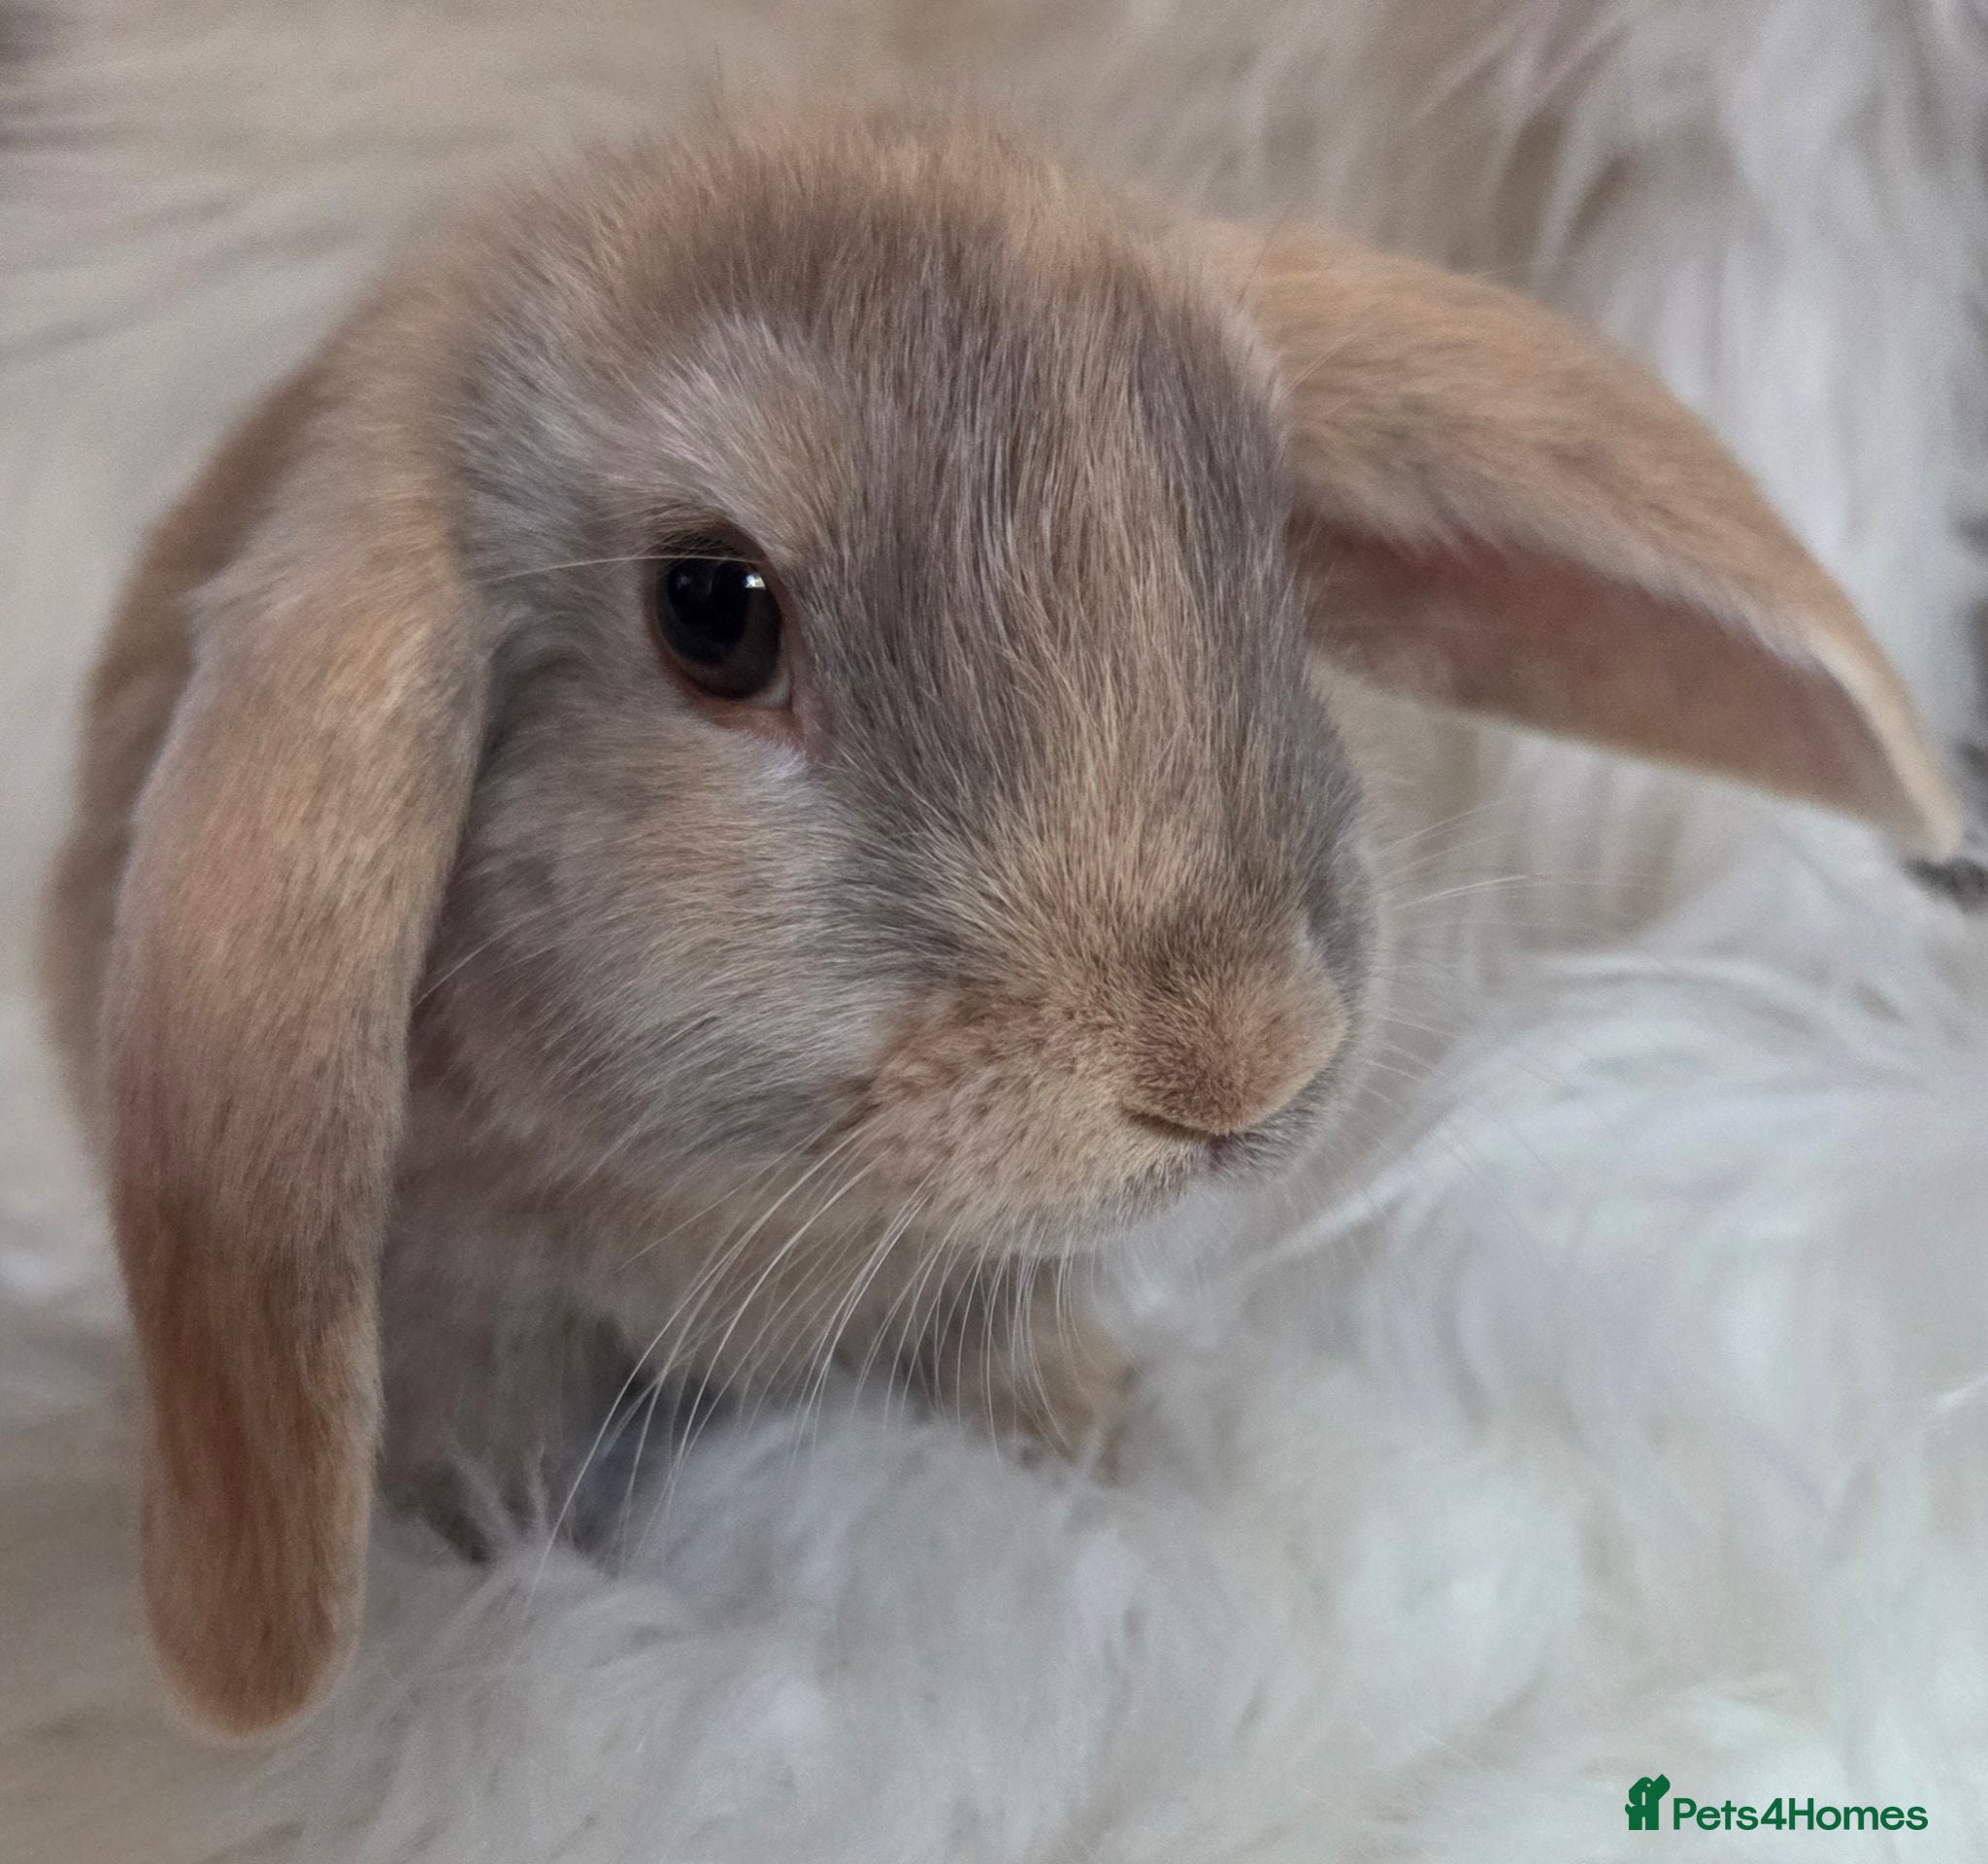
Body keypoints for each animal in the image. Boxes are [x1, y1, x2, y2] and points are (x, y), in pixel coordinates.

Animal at [39, 105, 1962, 1739]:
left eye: (1264, 553)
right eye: (713, 611)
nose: (1235, 1065)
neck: (778, 1212)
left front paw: (1110, 1444)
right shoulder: (468, 1310)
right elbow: (500, 1463)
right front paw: (534, 1598)